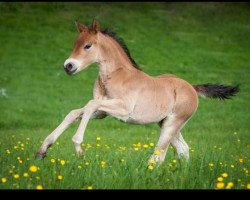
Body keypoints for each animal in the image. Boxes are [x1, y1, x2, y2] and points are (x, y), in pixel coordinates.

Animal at [35, 19, 238, 165]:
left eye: (87, 46)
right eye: (74, 44)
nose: (68, 66)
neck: (116, 76)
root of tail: (191, 87)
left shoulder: (123, 109)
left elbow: (90, 105)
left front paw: (79, 148)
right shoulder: (102, 112)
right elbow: (76, 112)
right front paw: (42, 150)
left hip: (172, 124)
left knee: (159, 155)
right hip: (166, 124)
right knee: (183, 150)